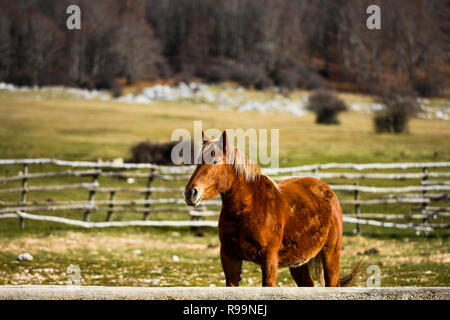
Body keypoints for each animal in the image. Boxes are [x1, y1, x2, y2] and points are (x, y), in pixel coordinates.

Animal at [184, 130, 362, 288]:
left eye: (215, 162)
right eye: (197, 162)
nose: (190, 192)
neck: (248, 208)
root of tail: (327, 190)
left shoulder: (269, 260)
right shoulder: (230, 258)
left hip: (330, 252)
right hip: (298, 263)